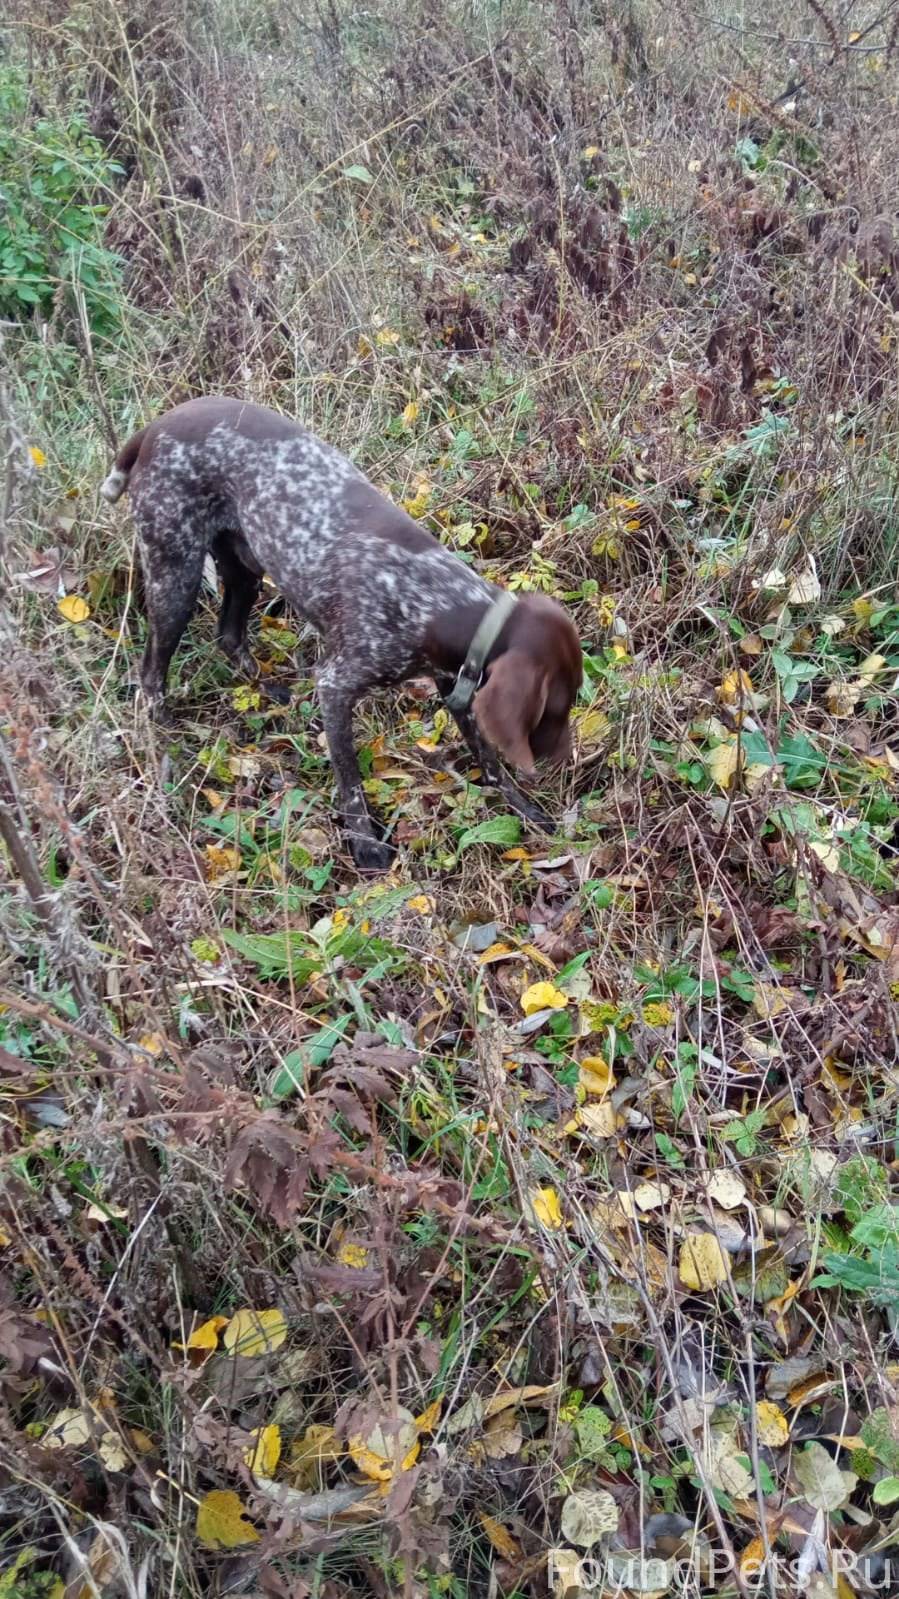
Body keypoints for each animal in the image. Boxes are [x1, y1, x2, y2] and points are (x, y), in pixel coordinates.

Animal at [99, 399, 582, 876]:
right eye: (556, 707)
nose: (565, 759)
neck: (443, 603)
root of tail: (155, 427)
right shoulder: (337, 683)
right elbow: (350, 780)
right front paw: (365, 845)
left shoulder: (456, 683)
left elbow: (489, 758)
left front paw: (523, 808)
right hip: (174, 573)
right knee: (152, 672)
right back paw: (166, 737)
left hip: (243, 565)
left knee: (229, 636)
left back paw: (269, 691)